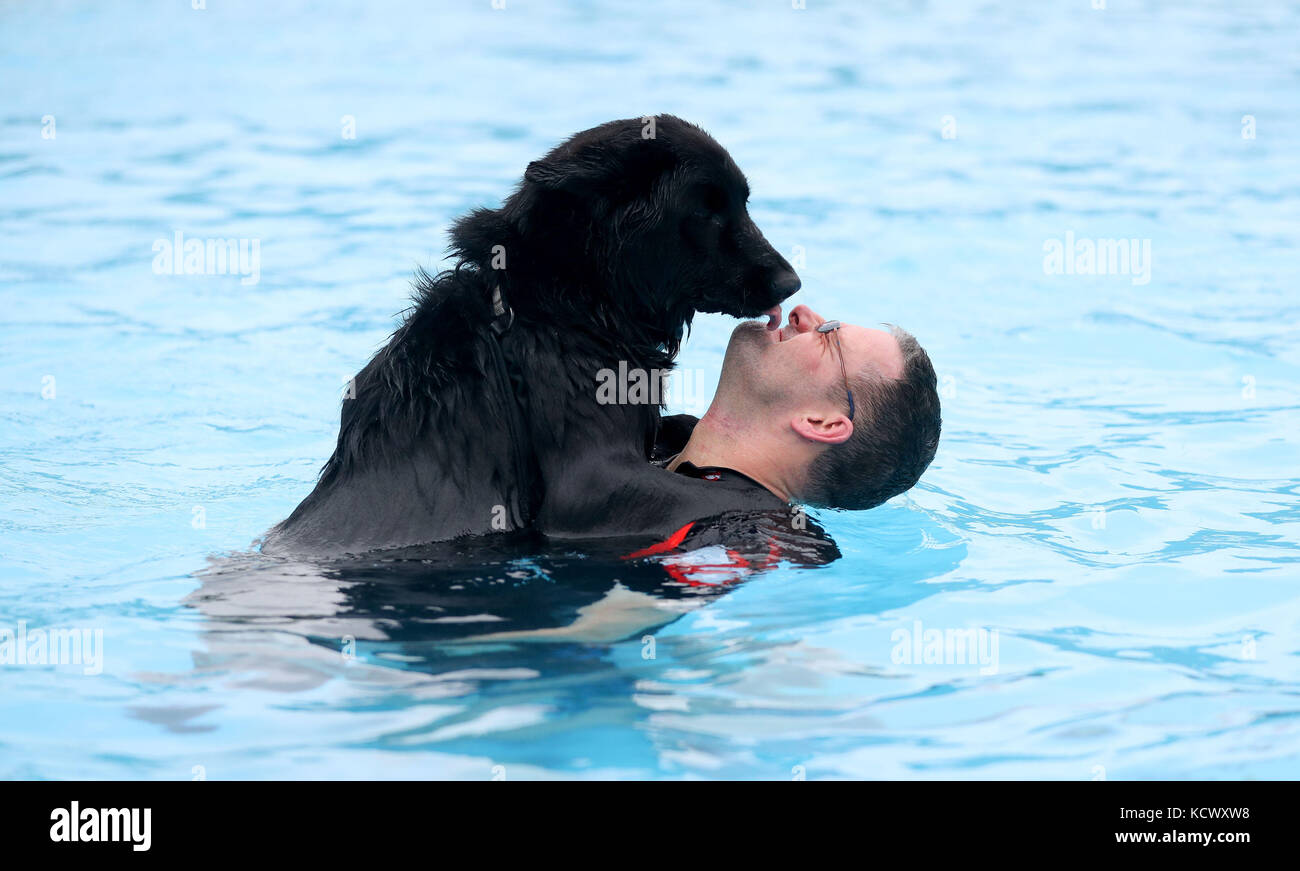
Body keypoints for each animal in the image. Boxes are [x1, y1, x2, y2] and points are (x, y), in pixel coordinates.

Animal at [261, 115, 790, 556]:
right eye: (706, 212)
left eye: (742, 203)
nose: (792, 282)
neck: (566, 308)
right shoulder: (592, 487)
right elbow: (745, 493)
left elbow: (685, 428)